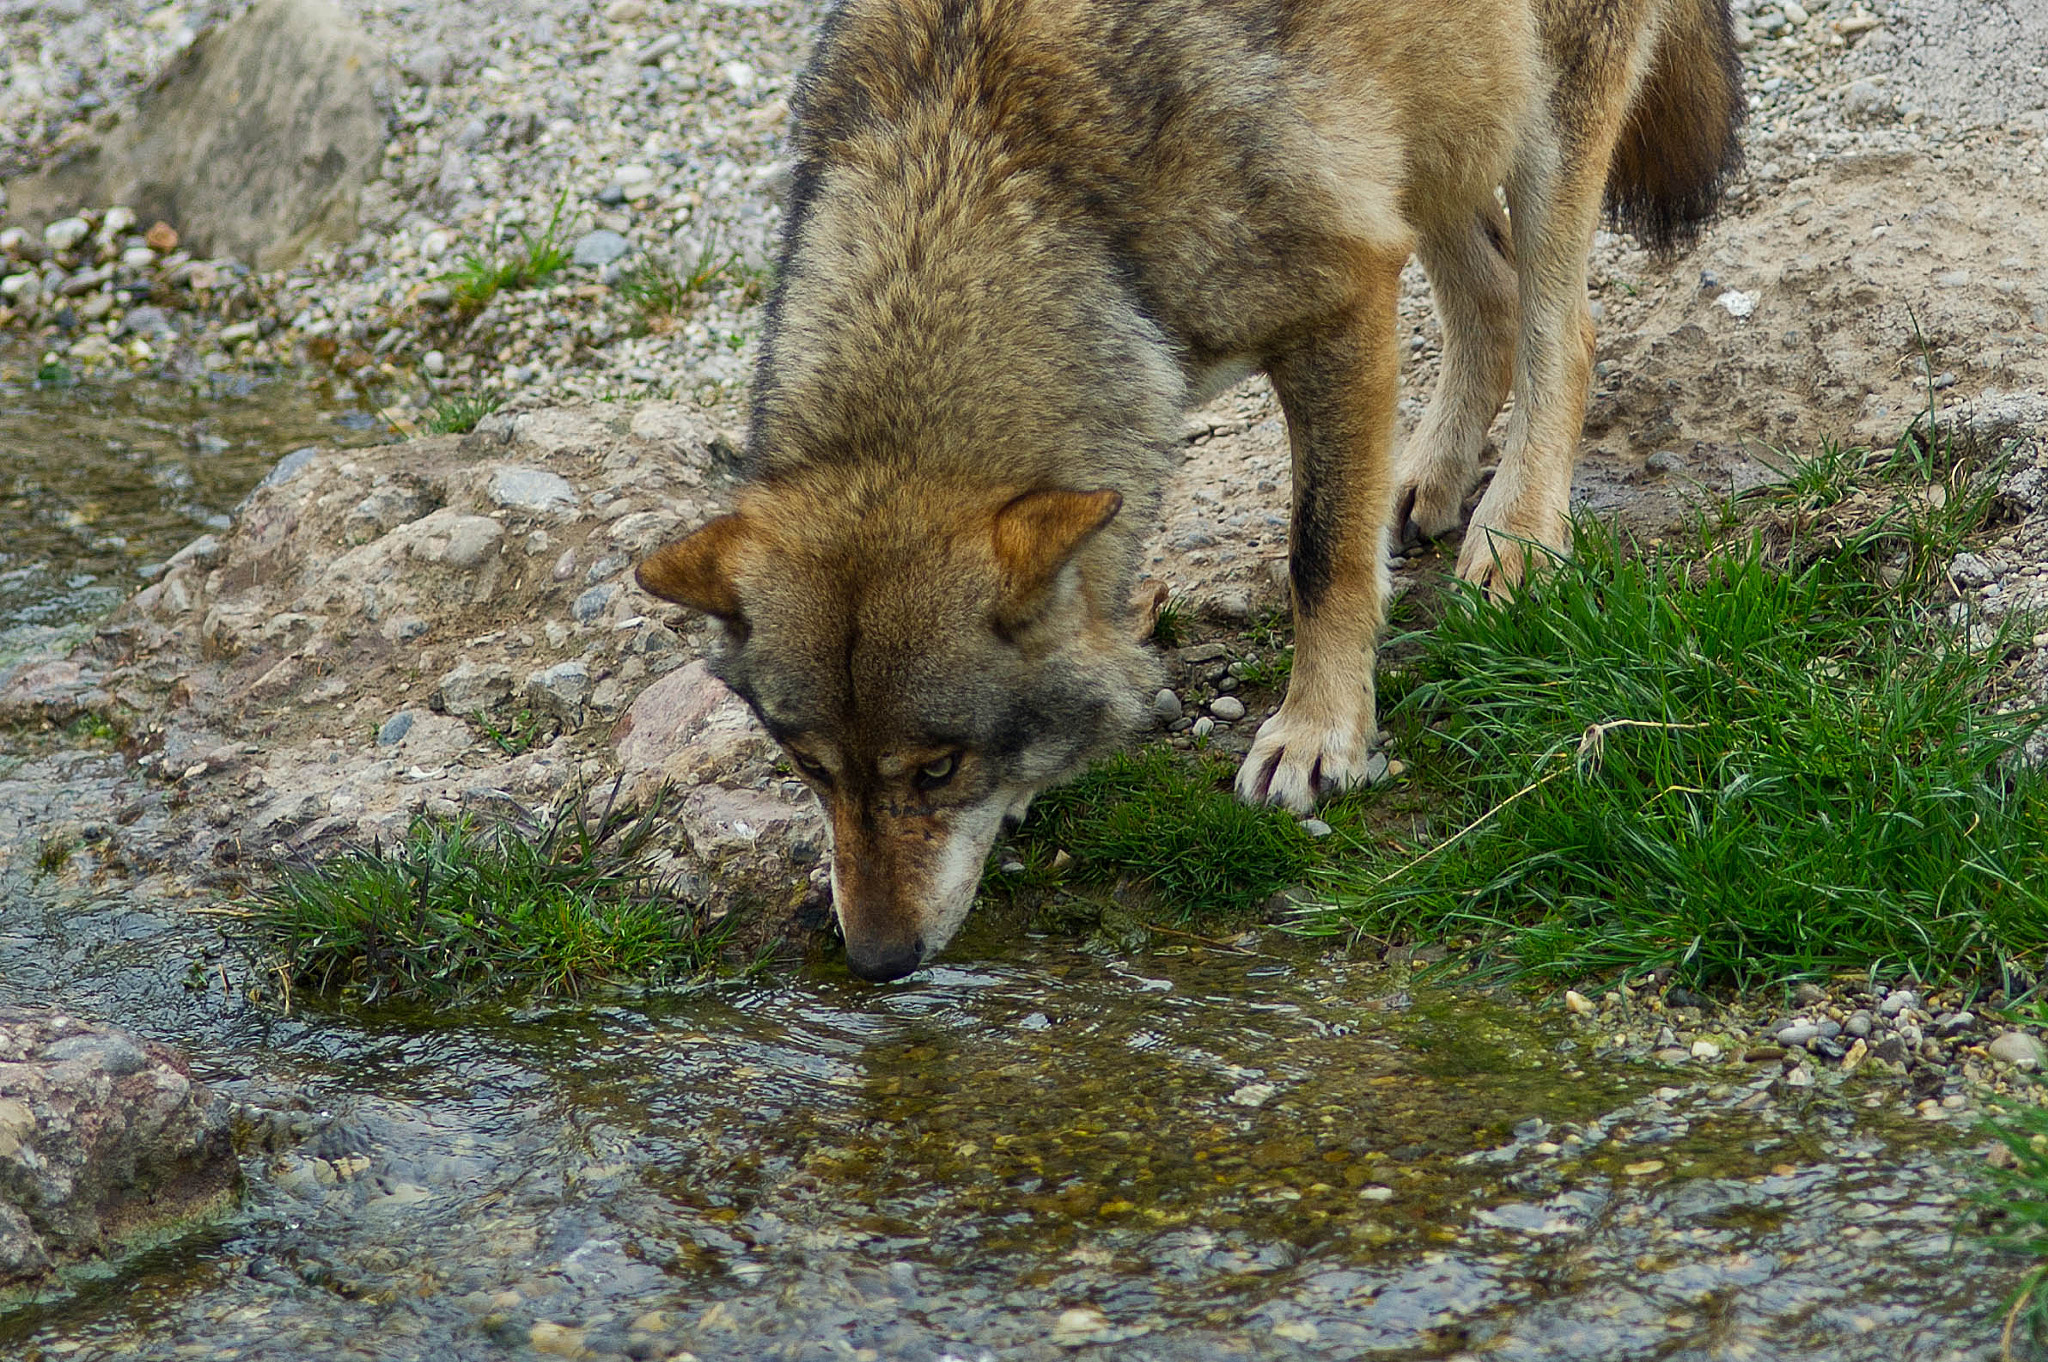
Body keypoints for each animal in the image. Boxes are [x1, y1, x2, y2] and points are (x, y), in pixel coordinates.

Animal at [634, 0, 1744, 979]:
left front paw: (1317, 737)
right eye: (810, 770)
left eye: (938, 768)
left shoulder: (1341, 297)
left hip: (1538, 111)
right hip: (1439, 119)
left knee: (1564, 326)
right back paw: (1425, 478)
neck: (994, 167)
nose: (874, 963)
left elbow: (1319, 555)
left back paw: (1515, 538)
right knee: (1492, 294)